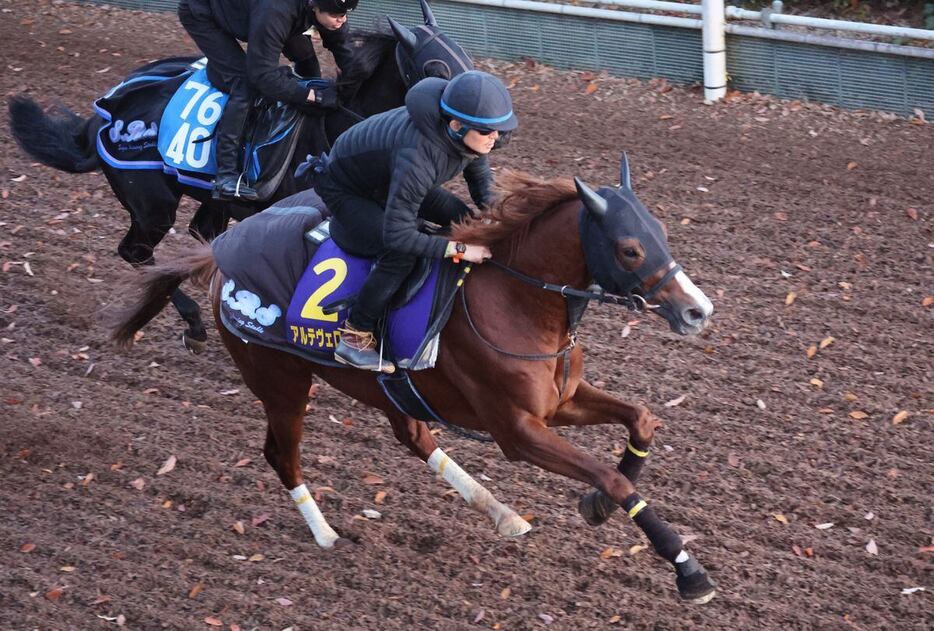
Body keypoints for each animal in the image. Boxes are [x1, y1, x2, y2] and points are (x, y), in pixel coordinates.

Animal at [8, 2, 472, 354]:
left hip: (210, 203)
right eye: (436, 68)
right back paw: (193, 323)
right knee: (137, 252)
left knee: (198, 236)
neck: (343, 127)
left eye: (466, 60)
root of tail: (105, 112)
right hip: (152, 204)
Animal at [113, 157, 720, 604]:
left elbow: (643, 420)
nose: (697, 311)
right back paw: (326, 533)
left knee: (412, 436)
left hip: (383, 387)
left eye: (661, 233)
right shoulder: (517, 431)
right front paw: (686, 568)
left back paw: (503, 514)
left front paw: (596, 504)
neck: (516, 301)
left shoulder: (561, 401)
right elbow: (615, 480)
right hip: (282, 383)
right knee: (281, 456)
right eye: (630, 248)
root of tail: (221, 252)